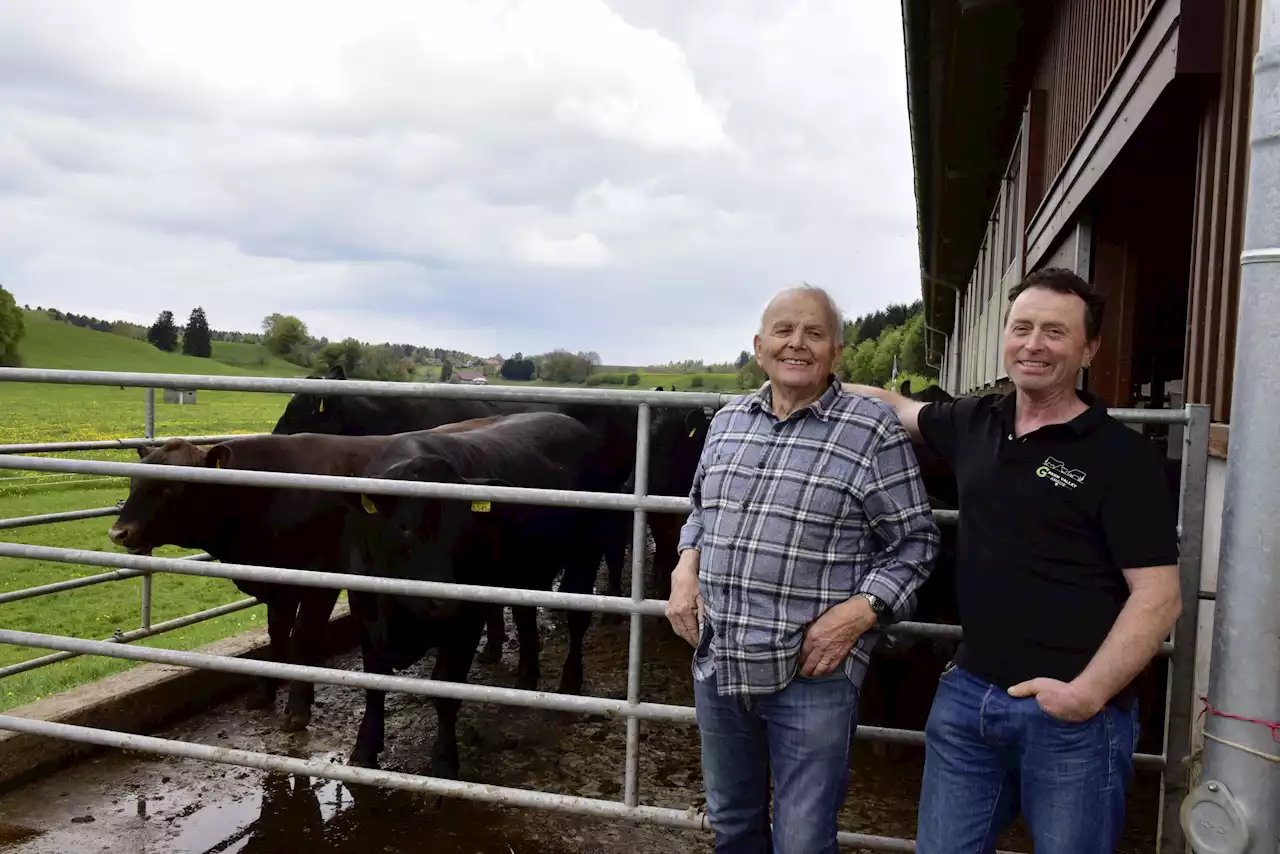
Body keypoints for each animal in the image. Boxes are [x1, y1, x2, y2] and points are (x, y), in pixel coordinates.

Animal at [343, 409, 611, 778]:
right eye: (404, 527)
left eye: (465, 530)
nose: (447, 600)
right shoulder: (364, 610)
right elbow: (374, 681)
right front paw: (364, 749)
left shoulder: (466, 620)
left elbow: (445, 688)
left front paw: (444, 762)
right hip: (527, 570)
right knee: (526, 617)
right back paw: (525, 679)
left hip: (586, 552)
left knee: (577, 618)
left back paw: (570, 681)